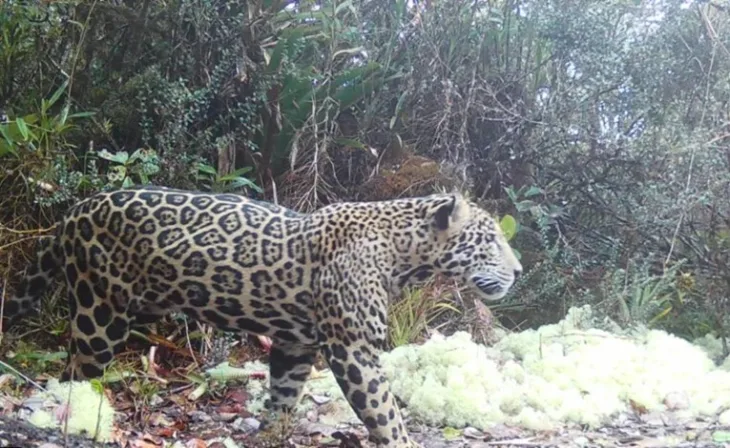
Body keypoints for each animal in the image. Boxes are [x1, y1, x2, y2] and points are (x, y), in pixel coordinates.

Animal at [2, 185, 522, 448]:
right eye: (491, 239)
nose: (518, 271)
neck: (405, 256)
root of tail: (74, 210)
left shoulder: (297, 343)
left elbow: (285, 394)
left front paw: (273, 433)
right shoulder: (352, 348)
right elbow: (385, 411)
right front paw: (400, 442)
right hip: (100, 312)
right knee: (75, 372)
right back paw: (79, 418)